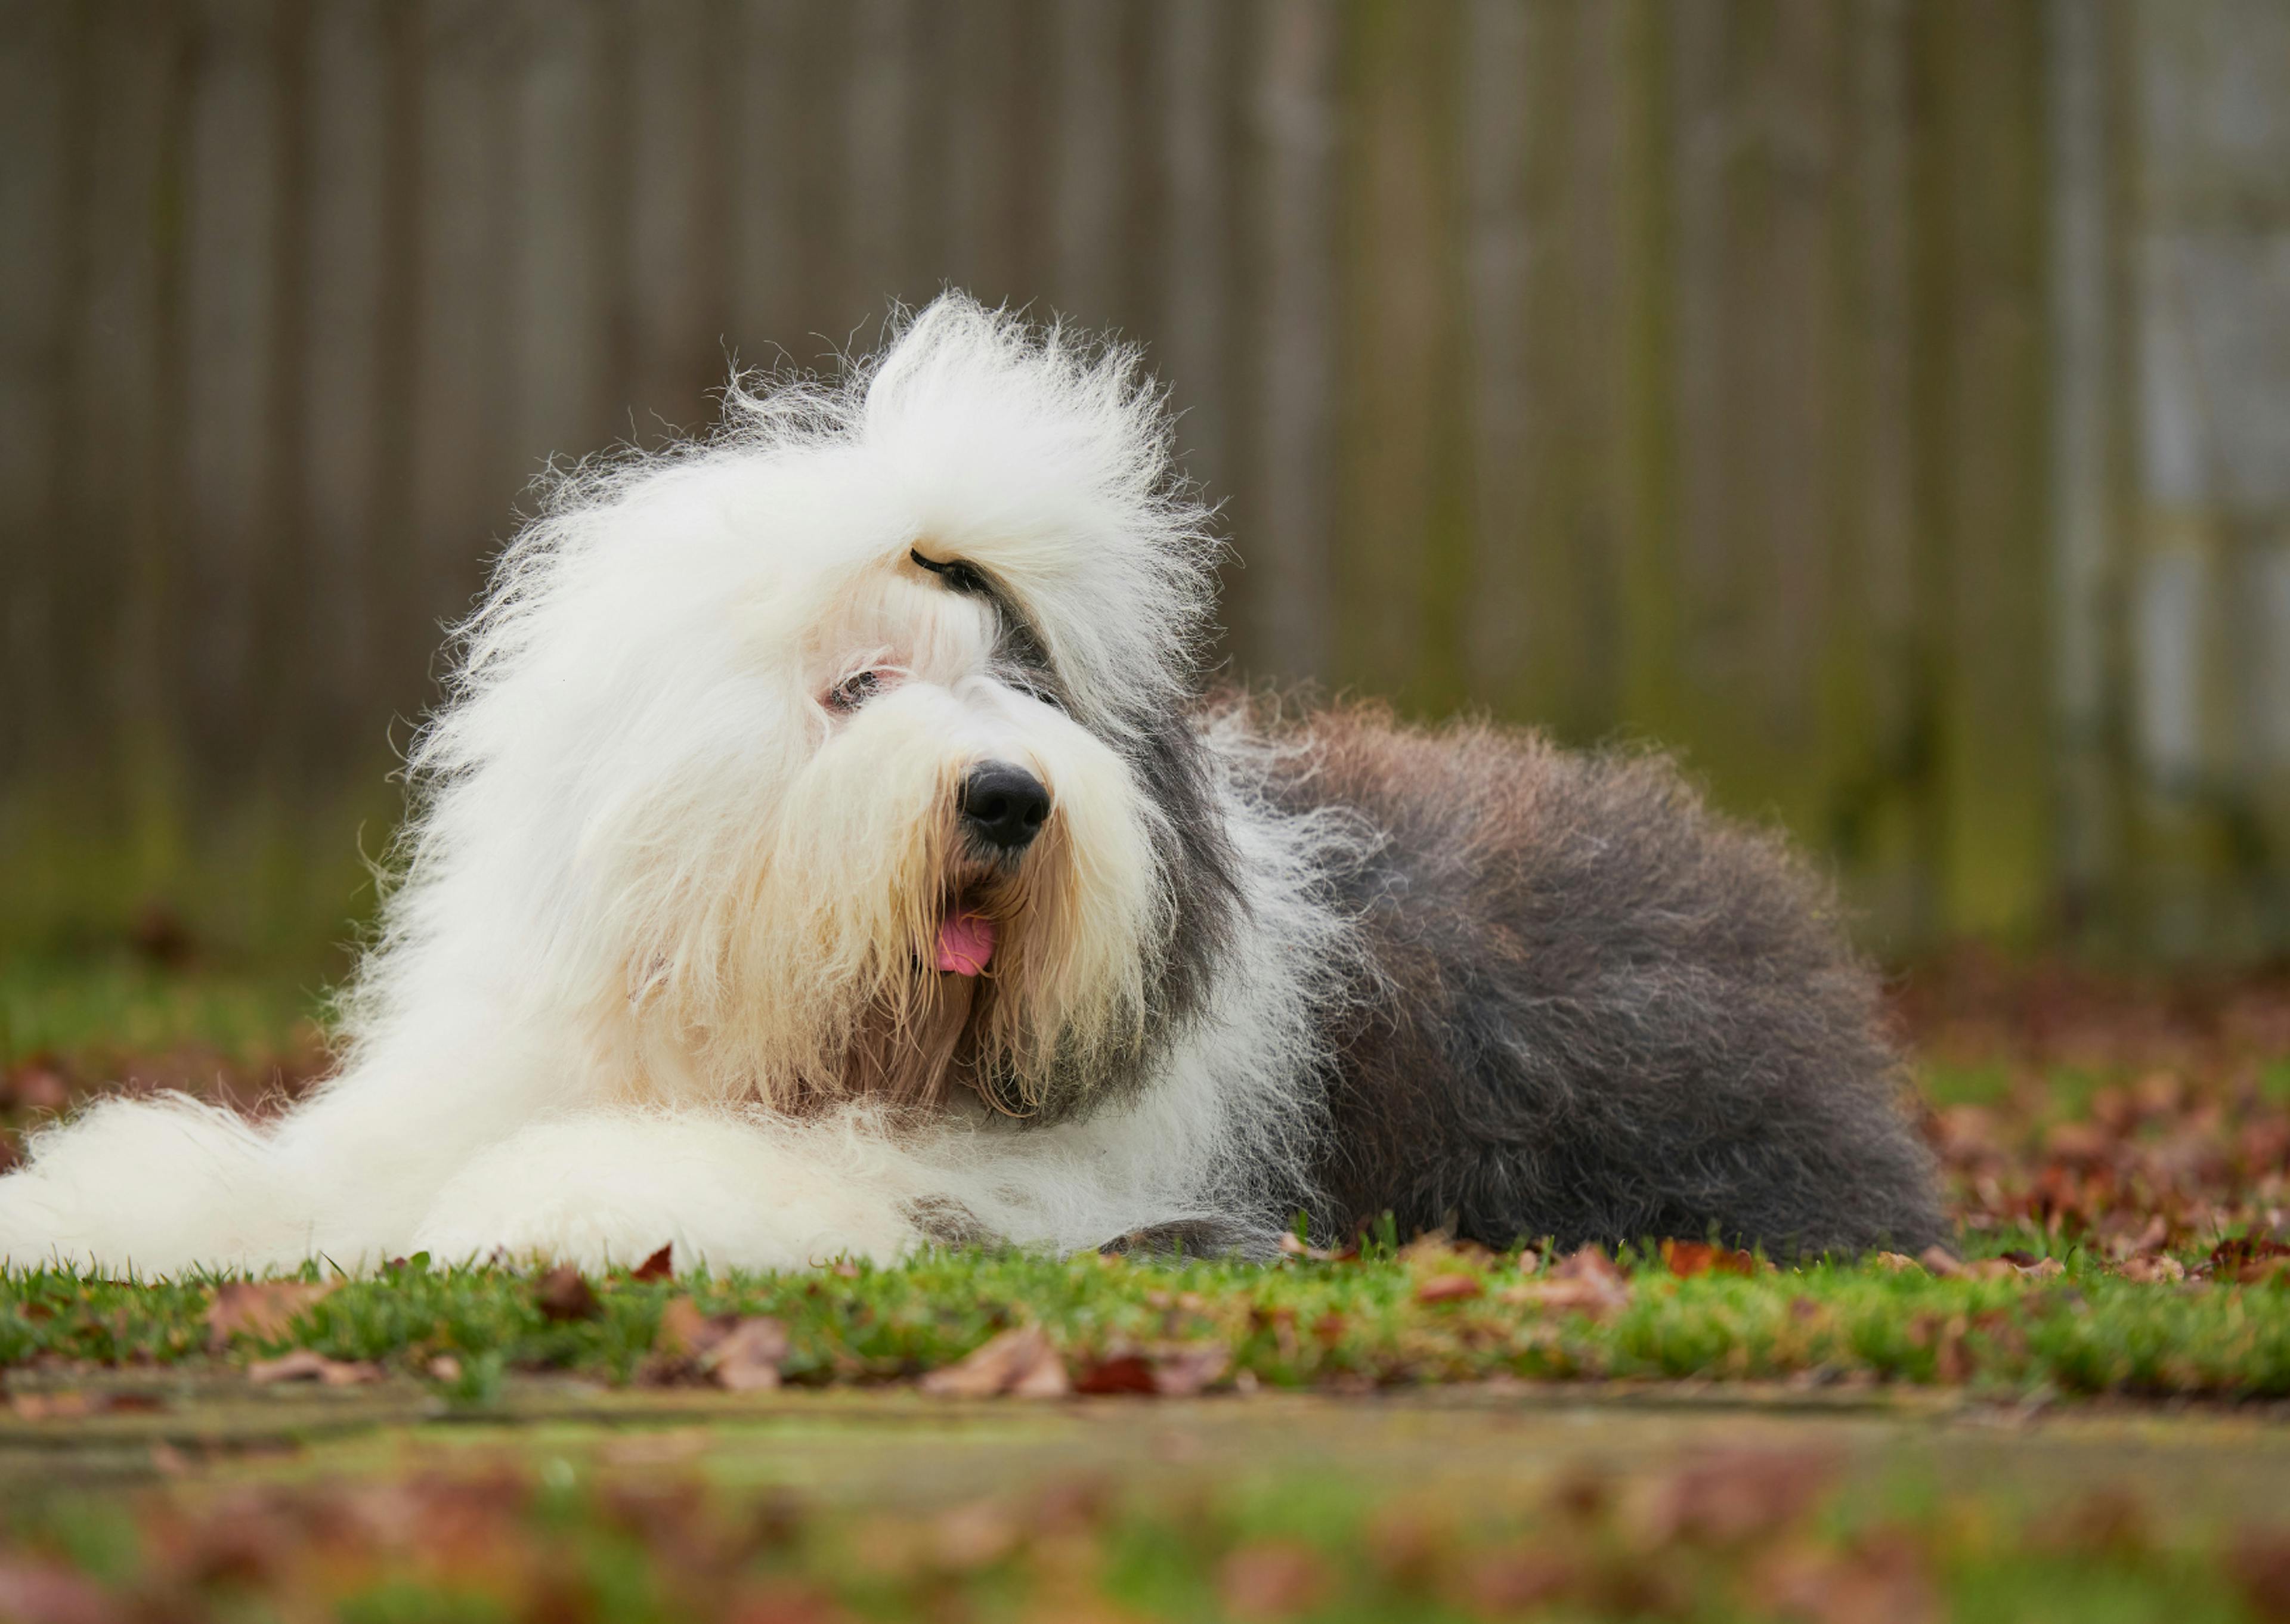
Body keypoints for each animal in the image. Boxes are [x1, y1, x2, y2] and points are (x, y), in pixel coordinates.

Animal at [0, 297, 1942, 1273]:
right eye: (855, 686)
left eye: (1026, 686)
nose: (1008, 798)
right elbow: (311, 1172)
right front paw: (92, 1208)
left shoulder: (1036, 1187)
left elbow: (783, 1180)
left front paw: (549, 1199)